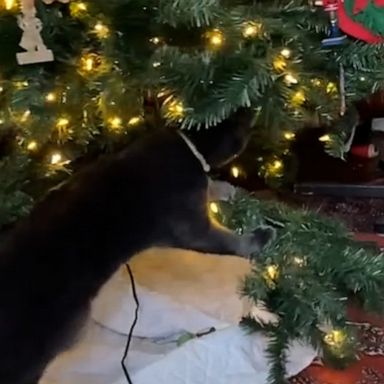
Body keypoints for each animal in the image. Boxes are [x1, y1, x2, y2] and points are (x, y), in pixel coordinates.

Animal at [0, 109, 272, 384]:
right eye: (242, 124)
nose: (252, 110)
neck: (187, 143)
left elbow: (212, 187)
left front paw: (228, 189)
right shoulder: (192, 226)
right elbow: (230, 240)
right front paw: (261, 235)